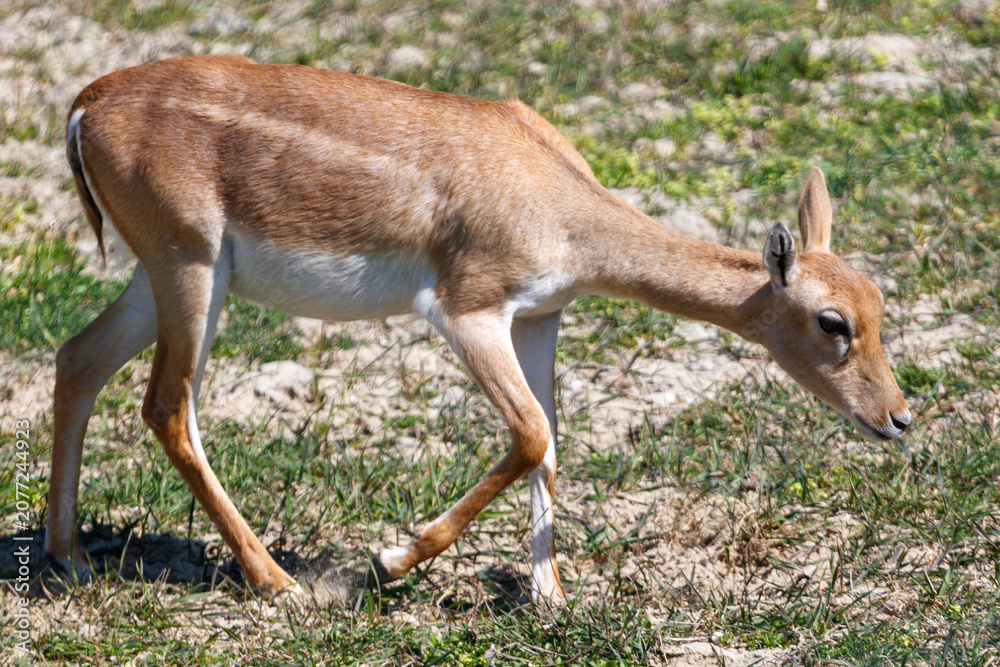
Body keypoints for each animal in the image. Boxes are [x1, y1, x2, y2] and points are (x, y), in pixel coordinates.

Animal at [47, 55, 910, 603]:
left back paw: (68, 557)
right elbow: (529, 433)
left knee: (77, 357)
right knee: (168, 405)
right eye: (832, 320)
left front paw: (552, 597)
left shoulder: (542, 316)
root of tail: (85, 103)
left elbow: (554, 441)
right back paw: (279, 581)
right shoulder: (465, 310)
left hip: (157, 278)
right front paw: (390, 559)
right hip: (192, 270)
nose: (897, 417)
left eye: (878, 305)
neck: (562, 205)